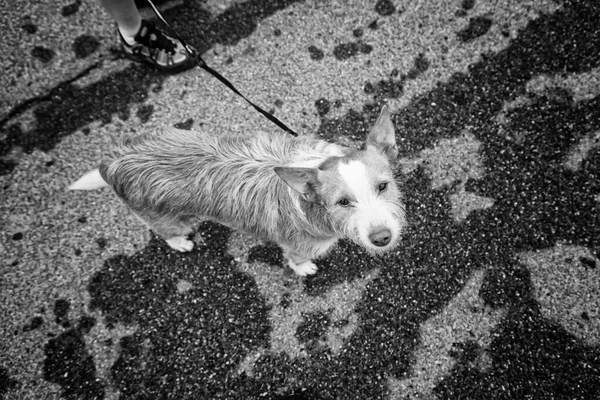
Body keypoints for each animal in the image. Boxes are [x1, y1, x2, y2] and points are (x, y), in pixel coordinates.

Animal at [70, 105, 408, 276]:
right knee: (166, 231)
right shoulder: (298, 245)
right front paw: (304, 269)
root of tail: (113, 161)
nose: (382, 238)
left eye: (383, 186)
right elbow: (296, 260)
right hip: (162, 216)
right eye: (342, 202)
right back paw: (180, 242)